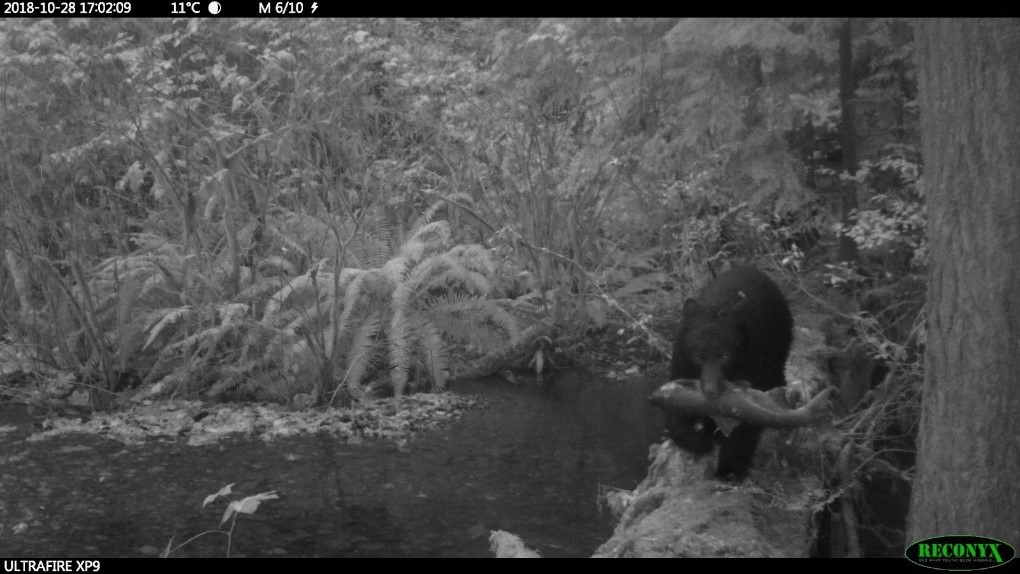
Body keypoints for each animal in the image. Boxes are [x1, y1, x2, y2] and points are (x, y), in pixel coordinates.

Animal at [665, 267, 791, 481]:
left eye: (725, 356)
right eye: (698, 356)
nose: (710, 391)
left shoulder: (754, 362)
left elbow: (748, 416)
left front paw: (728, 469)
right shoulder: (682, 361)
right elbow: (675, 411)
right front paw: (700, 441)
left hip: (780, 341)